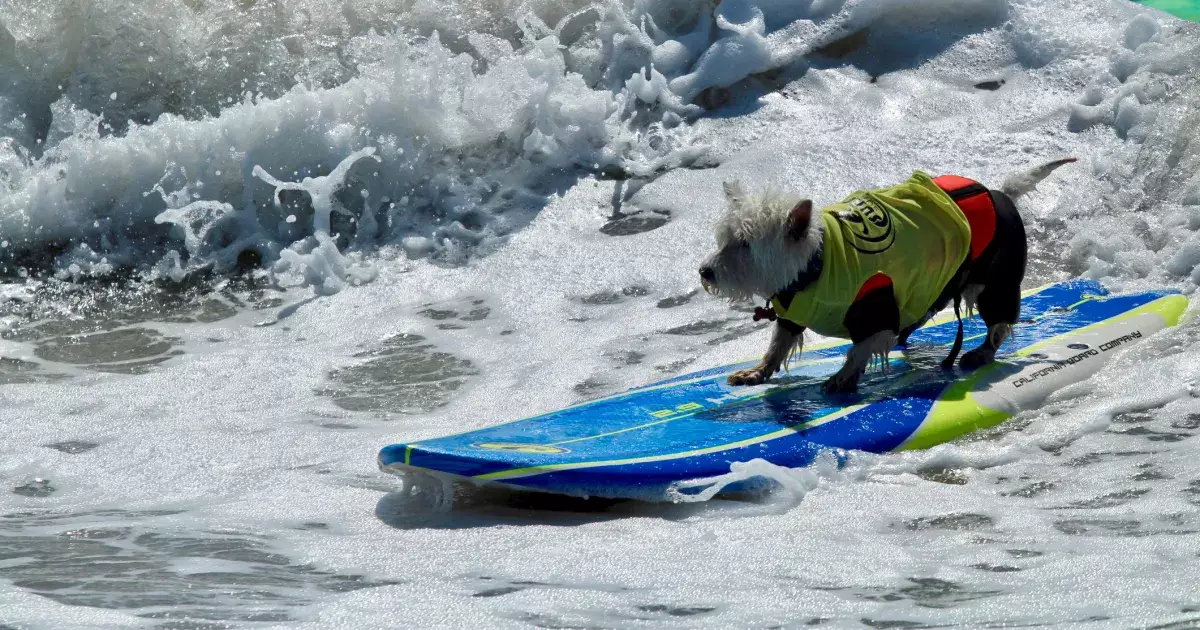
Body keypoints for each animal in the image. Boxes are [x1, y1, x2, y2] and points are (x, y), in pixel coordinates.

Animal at [700, 158, 1075, 393]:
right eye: (725, 239)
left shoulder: (874, 305)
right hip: (936, 285)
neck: (816, 263)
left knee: (998, 321)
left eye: (745, 244)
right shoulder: (793, 312)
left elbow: (860, 348)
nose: (705, 272)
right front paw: (758, 371)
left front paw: (844, 377)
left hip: (997, 278)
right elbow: (778, 344)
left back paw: (981, 352)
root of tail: (999, 194)